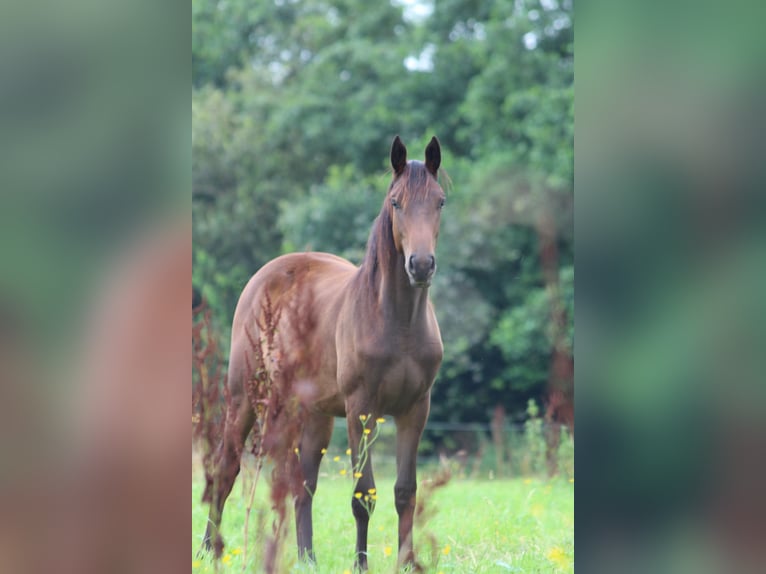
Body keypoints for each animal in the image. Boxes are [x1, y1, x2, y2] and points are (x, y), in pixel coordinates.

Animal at [201, 136, 448, 572]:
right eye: (396, 202)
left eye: (440, 201)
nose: (420, 265)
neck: (398, 322)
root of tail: (262, 278)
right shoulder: (361, 409)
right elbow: (363, 495)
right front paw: (361, 565)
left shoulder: (415, 409)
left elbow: (405, 491)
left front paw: (406, 563)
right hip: (245, 398)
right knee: (224, 469)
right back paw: (210, 551)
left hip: (312, 414)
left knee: (303, 487)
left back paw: (307, 558)